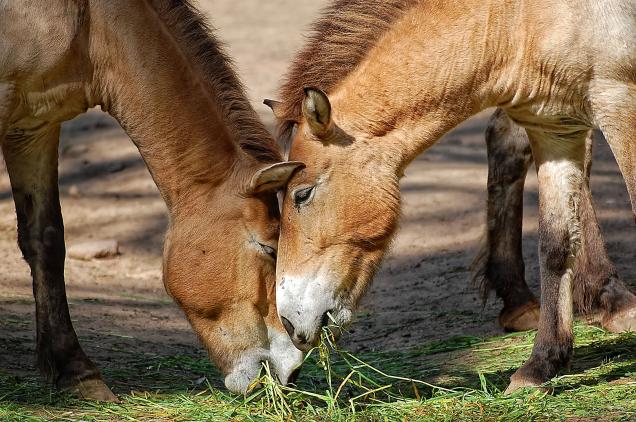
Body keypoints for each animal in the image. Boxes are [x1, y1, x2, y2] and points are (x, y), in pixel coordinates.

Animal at [0, 0, 304, 398]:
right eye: (269, 248)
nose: (293, 371)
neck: (90, 22)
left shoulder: (33, 128)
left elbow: (46, 242)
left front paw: (77, 373)